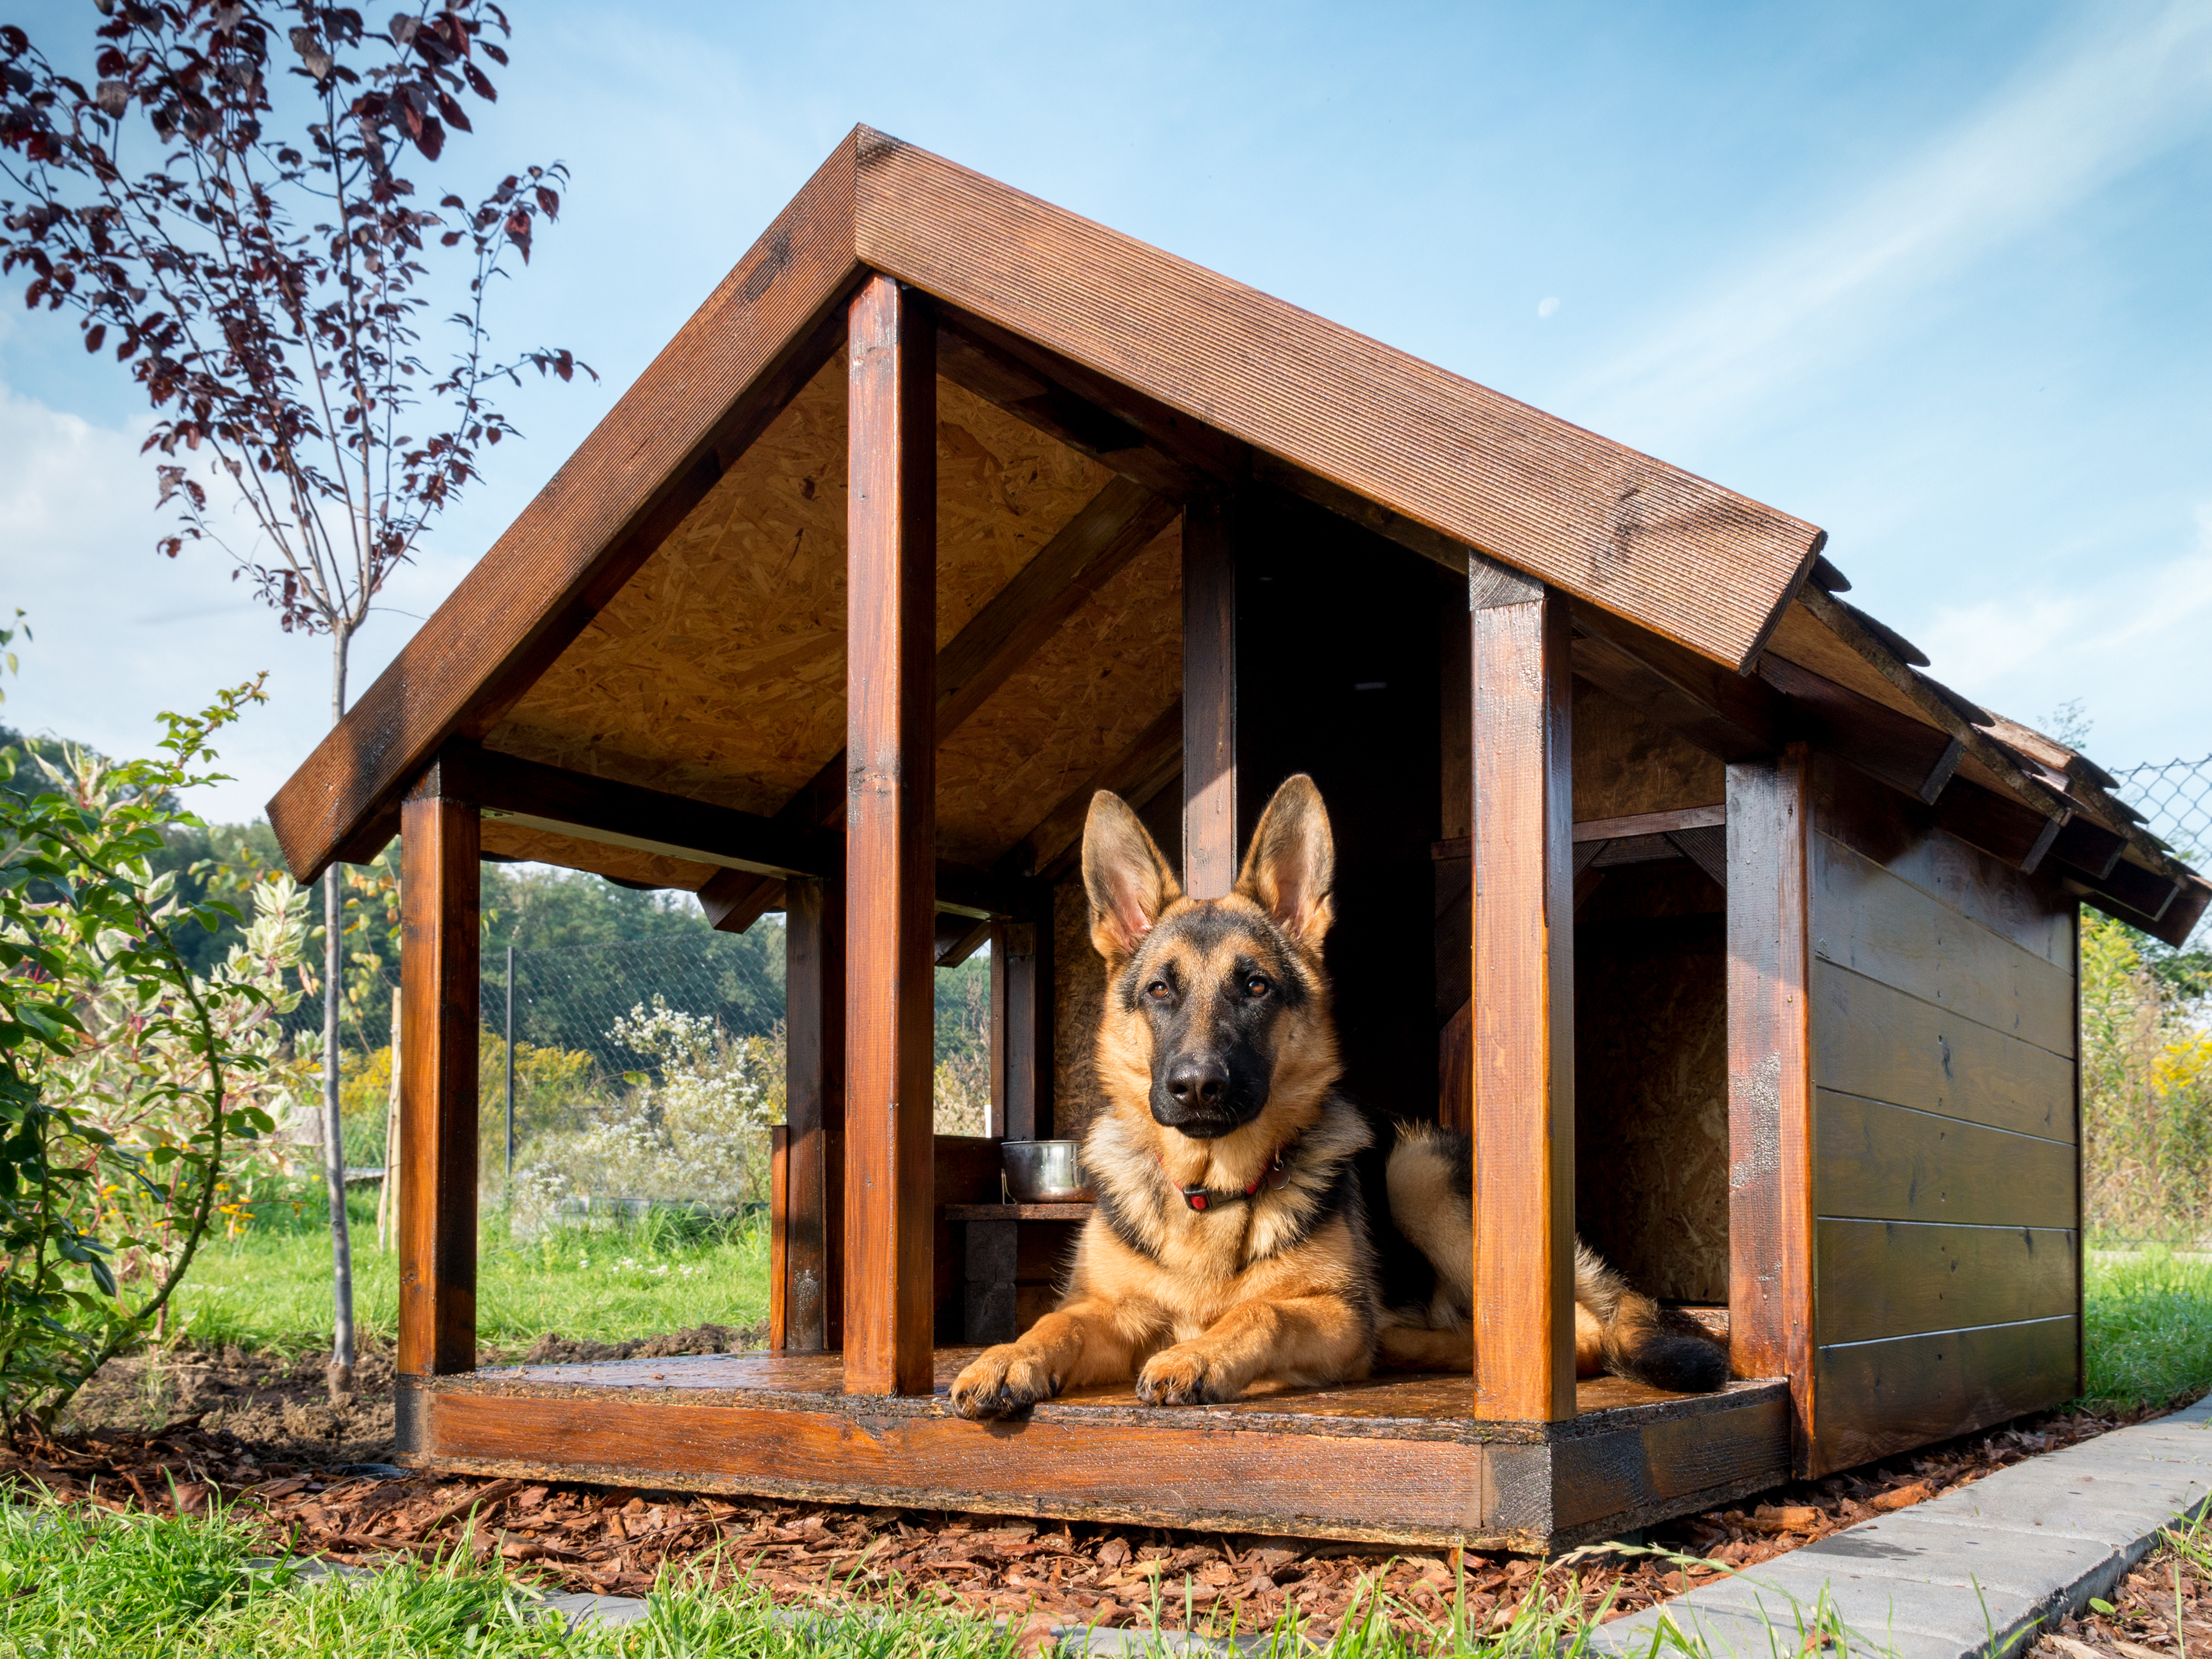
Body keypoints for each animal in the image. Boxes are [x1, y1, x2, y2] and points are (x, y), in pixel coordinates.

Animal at [942, 774, 1717, 1425]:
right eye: (1160, 989)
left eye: (1254, 986)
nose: (1197, 1087)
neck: (1211, 1193)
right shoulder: (1111, 1311)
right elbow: (1056, 1322)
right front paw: (1004, 1358)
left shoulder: (1331, 1314)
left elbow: (1264, 1314)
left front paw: (1200, 1353)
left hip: (1416, 1171)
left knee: (1578, 1334)